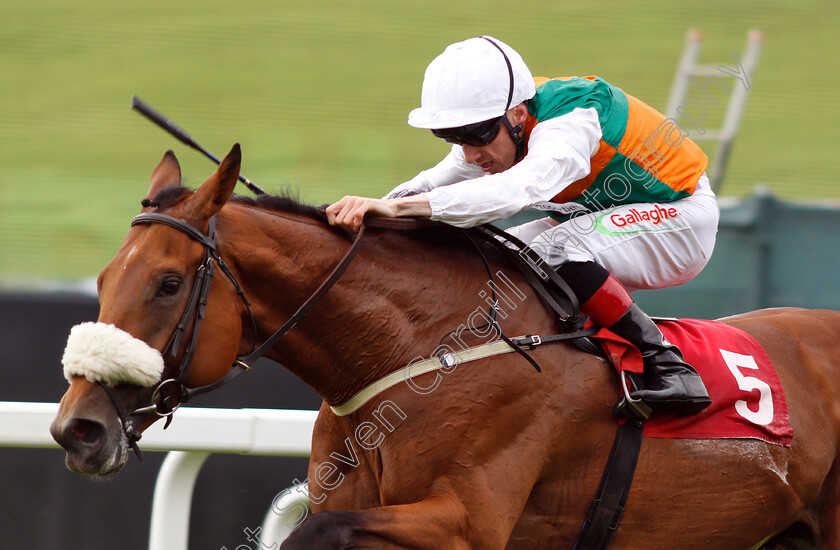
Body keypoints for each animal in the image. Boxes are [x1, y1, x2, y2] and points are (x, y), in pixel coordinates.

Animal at [52, 144, 840, 548]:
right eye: (103, 279)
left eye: (168, 283)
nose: (76, 429)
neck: (421, 349)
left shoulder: (467, 522)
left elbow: (314, 535)